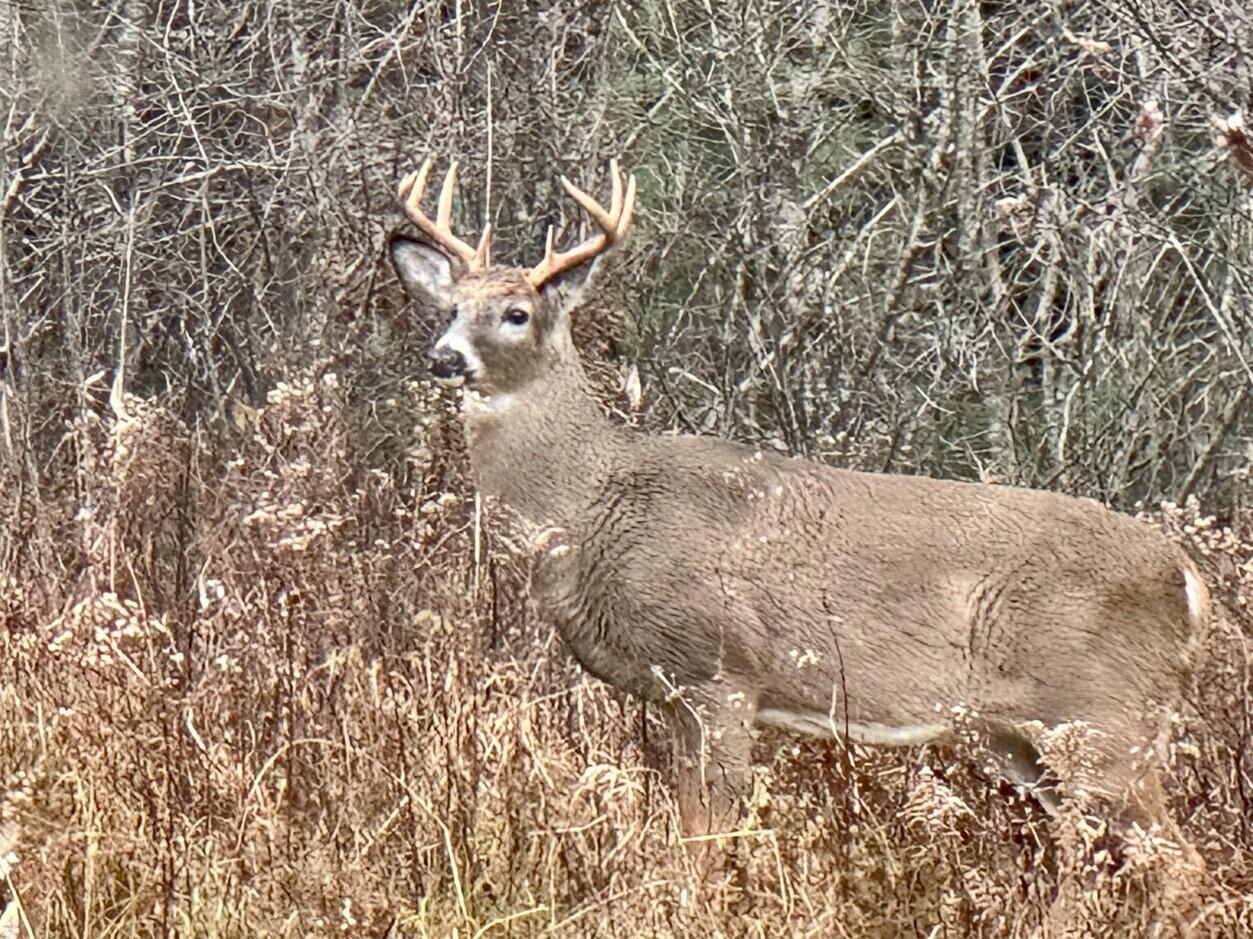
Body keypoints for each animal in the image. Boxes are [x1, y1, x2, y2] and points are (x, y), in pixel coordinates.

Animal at [390, 155, 1212, 877]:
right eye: (450, 306)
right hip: (1021, 733)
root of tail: (1186, 577)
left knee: (1178, 860)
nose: (444, 357)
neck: (595, 505)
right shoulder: (673, 698)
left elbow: (704, 844)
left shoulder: (719, 673)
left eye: (517, 313)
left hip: (1104, 716)